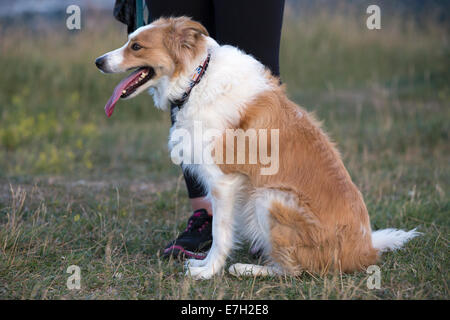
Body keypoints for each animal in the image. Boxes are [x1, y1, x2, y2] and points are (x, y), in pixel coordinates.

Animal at [94, 16, 418, 278]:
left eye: (136, 47)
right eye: (129, 40)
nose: (98, 61)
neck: (196, 79)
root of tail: (365, 249)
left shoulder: (224, 182)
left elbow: (220, 233)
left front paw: (207, 271)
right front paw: (203, 264)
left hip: (268, 197)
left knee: (294, 270)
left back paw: (246, 269)